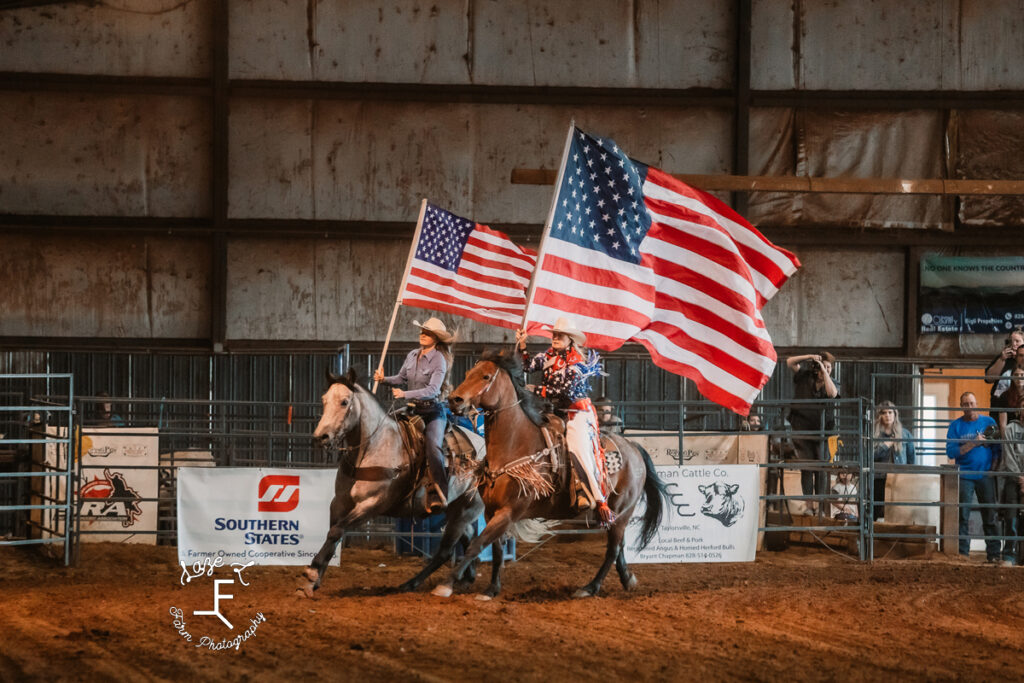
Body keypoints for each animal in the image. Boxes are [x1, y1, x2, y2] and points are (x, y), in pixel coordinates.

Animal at [299, 368, 485, 598]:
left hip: (467, 508)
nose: (320, 437)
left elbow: (336, 531)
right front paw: (313, 581)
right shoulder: (339, 503)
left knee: (446, 549)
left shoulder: (372, 504)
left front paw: (311, 574)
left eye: (344, 402)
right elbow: (333, 533)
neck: (374, 446)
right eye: (324, 400)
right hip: (455, 508)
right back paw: (464, 578)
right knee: (468, 539)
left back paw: (421, 583)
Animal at [434, 350, 667, 602]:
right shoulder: (491, 510)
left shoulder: (509, 511)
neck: (515, 445)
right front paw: (491, 589)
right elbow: (495, 550)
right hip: (617, 515)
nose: (454, 400)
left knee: (613, 549)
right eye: (468, 373)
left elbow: (477, 545)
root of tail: (633, 446)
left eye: (486, 376)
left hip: (623, 510)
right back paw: (627, 579)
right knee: (619, 547)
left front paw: (446, 584)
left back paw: (589, 587)